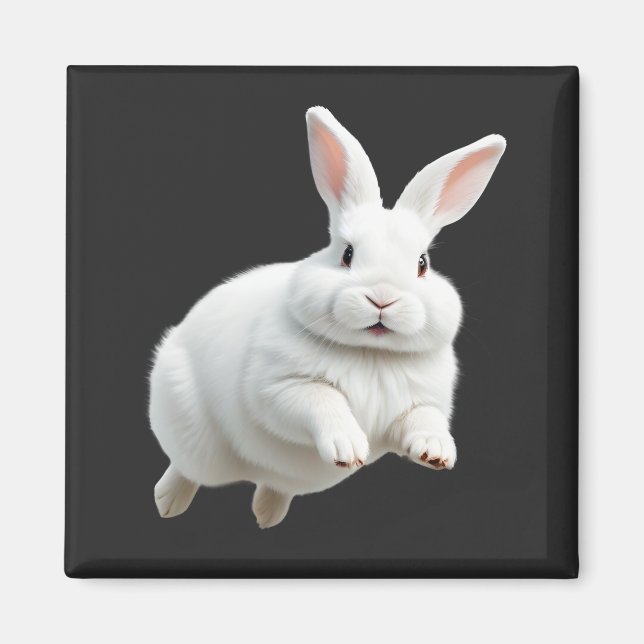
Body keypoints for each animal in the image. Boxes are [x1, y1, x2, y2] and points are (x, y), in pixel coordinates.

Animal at [149, 106, 506, 528]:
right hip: (193, 437)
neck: (371, 354)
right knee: (185, 469)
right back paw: (167, 502)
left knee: (275, 485)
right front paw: (348, 448)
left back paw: (267, 514)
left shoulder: (417, 405)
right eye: (347, 254)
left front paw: (436, 453)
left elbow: (425, 420)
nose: (382, 298)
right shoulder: (280, 387)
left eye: (422, 264)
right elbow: (324, 400)